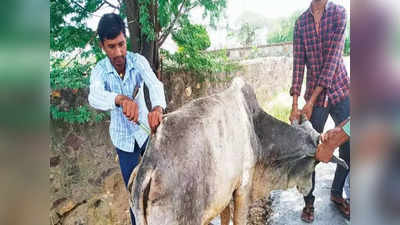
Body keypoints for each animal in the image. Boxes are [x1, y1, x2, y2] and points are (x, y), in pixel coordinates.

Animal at [127, 78, 344, 225]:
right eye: (316, 162)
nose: (308, 189)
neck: (257, 132)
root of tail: (150, 162)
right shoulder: (243, 188)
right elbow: (239, 219)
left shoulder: (225, 193)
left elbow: (225, 217)